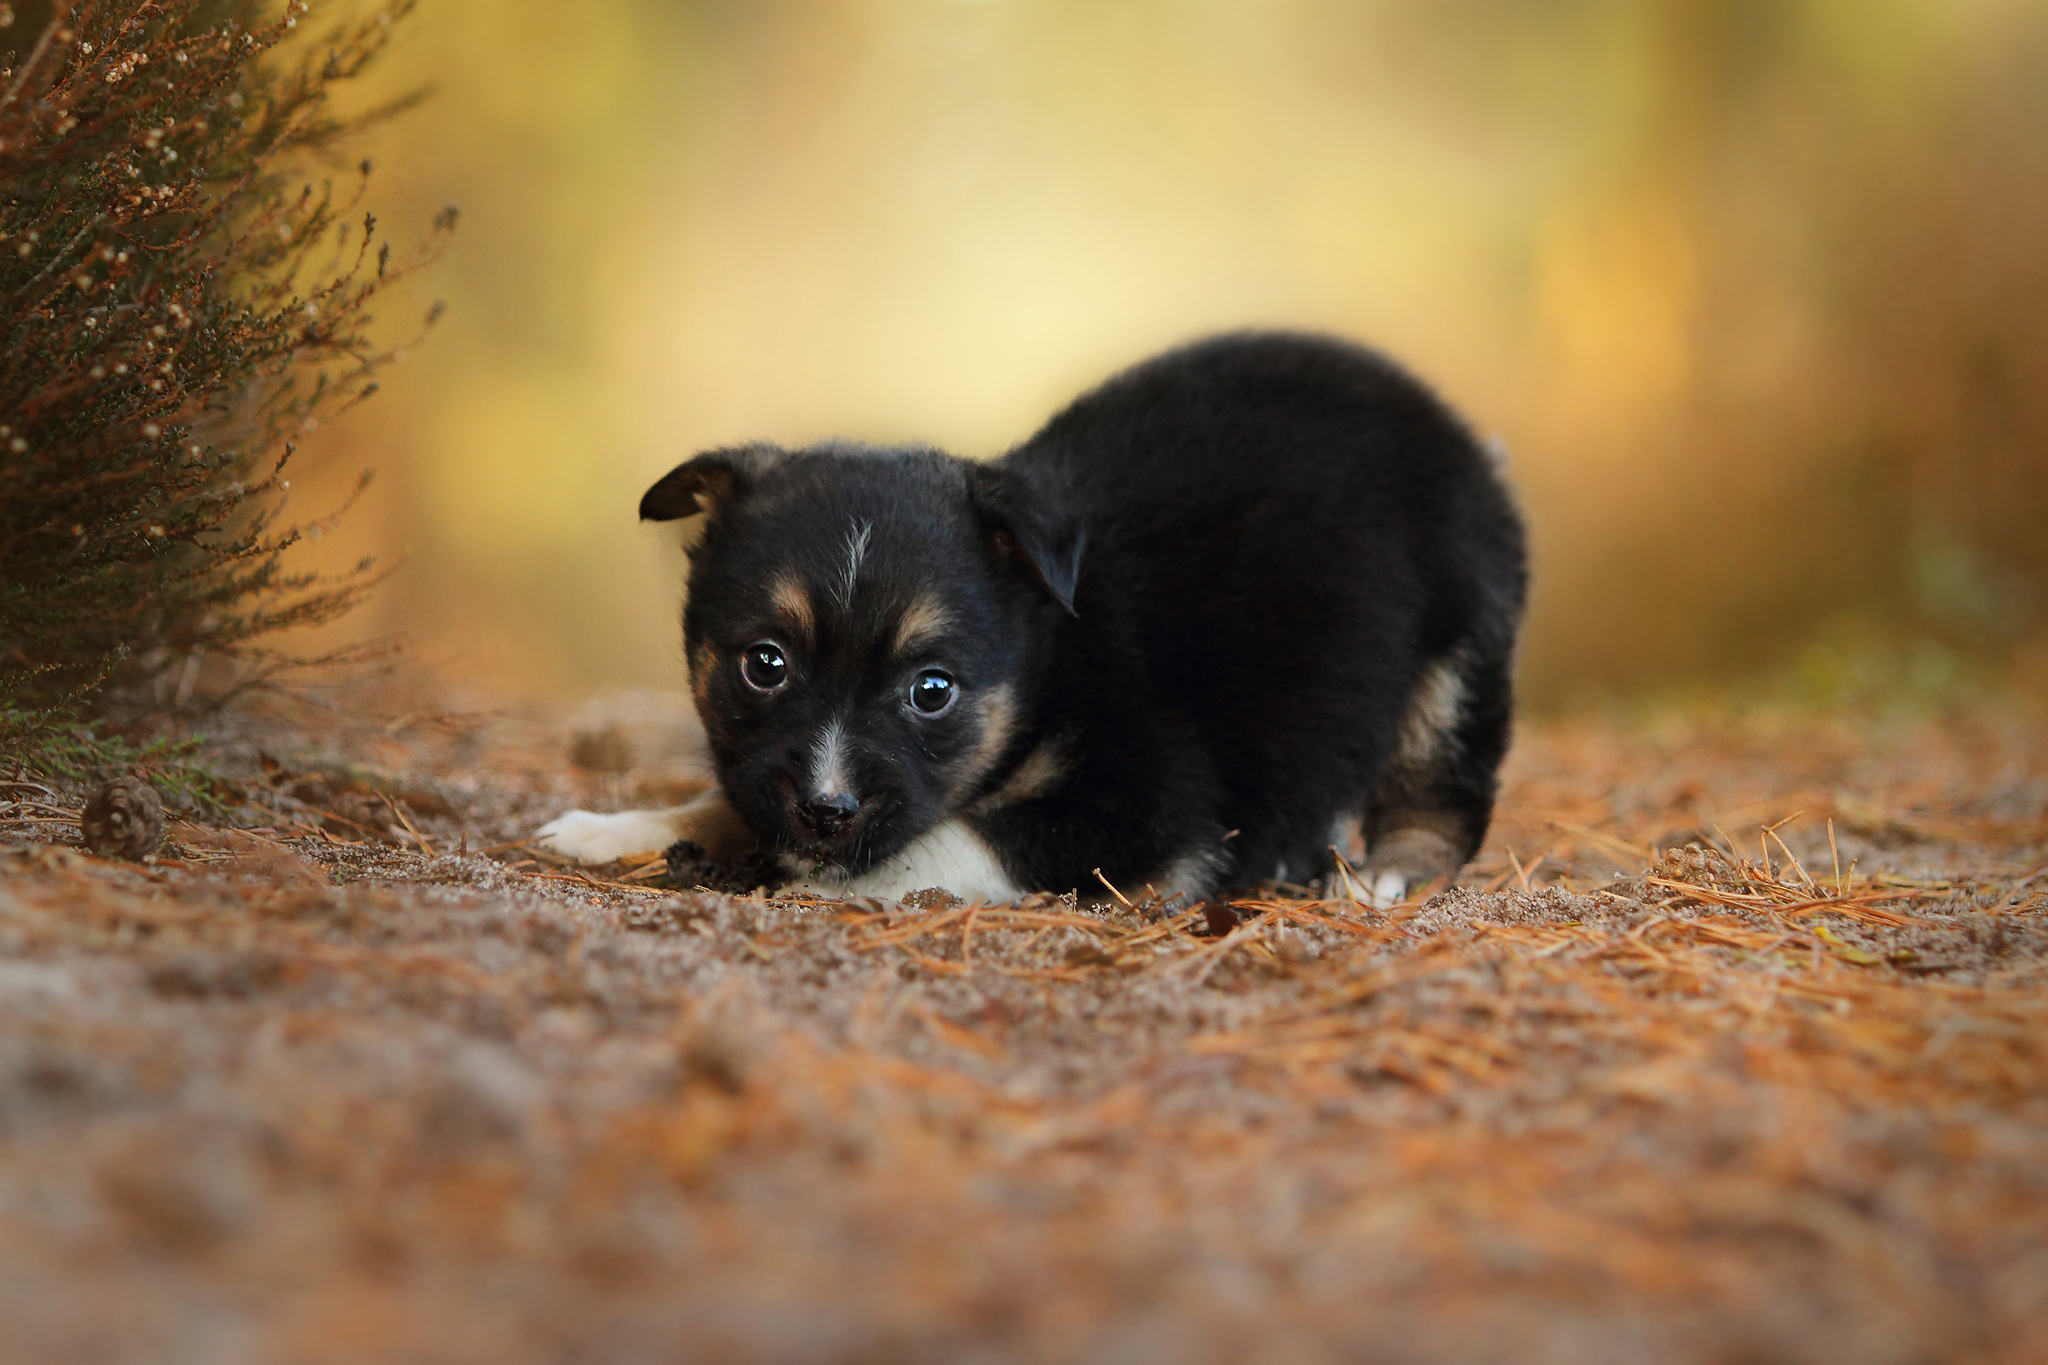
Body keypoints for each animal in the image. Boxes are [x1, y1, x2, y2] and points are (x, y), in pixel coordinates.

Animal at [536, 331, 1531, 908]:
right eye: (764, 664)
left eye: (932, 690)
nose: (825, 810)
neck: (1050, 662)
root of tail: (1456, 427)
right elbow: (727, 795)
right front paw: (616, 828)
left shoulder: (1146, 800)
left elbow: (951, 838)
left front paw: (791, 871)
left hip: (1458, 651)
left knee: (1441, 793)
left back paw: (1388, 872)